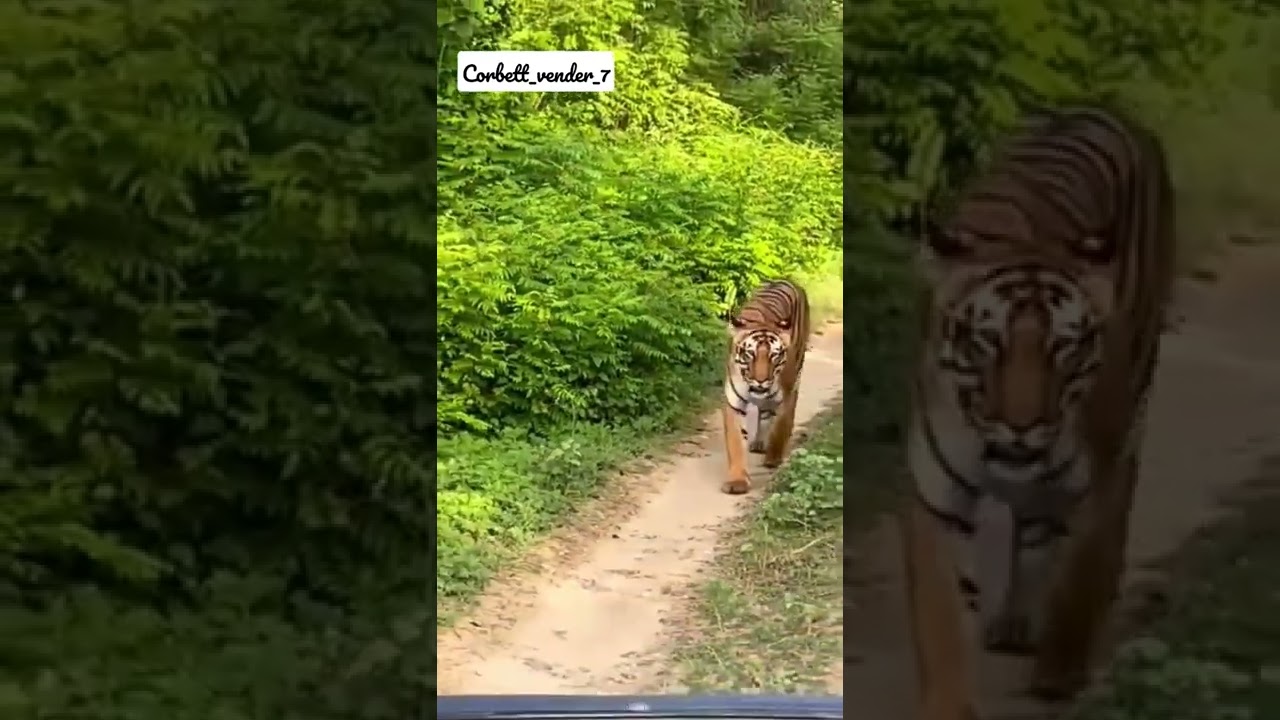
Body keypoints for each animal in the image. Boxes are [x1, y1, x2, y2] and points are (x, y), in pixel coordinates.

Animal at [721, 279, 811, 495]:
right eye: (749, 355)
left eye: (774, 356)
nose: (761, 380)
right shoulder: (733, 402)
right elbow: (735, 442)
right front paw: (737, 481)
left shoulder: (785, 394)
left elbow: (780, 424)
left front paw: (773, 458)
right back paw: (758, 442)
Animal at [900, 105, 1175, 720]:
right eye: (986, 342)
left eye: (1064, 347)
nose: (1022, 426)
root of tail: (1102, 108)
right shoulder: (937, 492)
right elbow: (940, 616)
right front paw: (949, 704)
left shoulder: (1097, 470)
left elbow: (1078, 569)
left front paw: (1060, 672)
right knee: (1034, 525)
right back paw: (1014, 620)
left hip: (1132, 410)